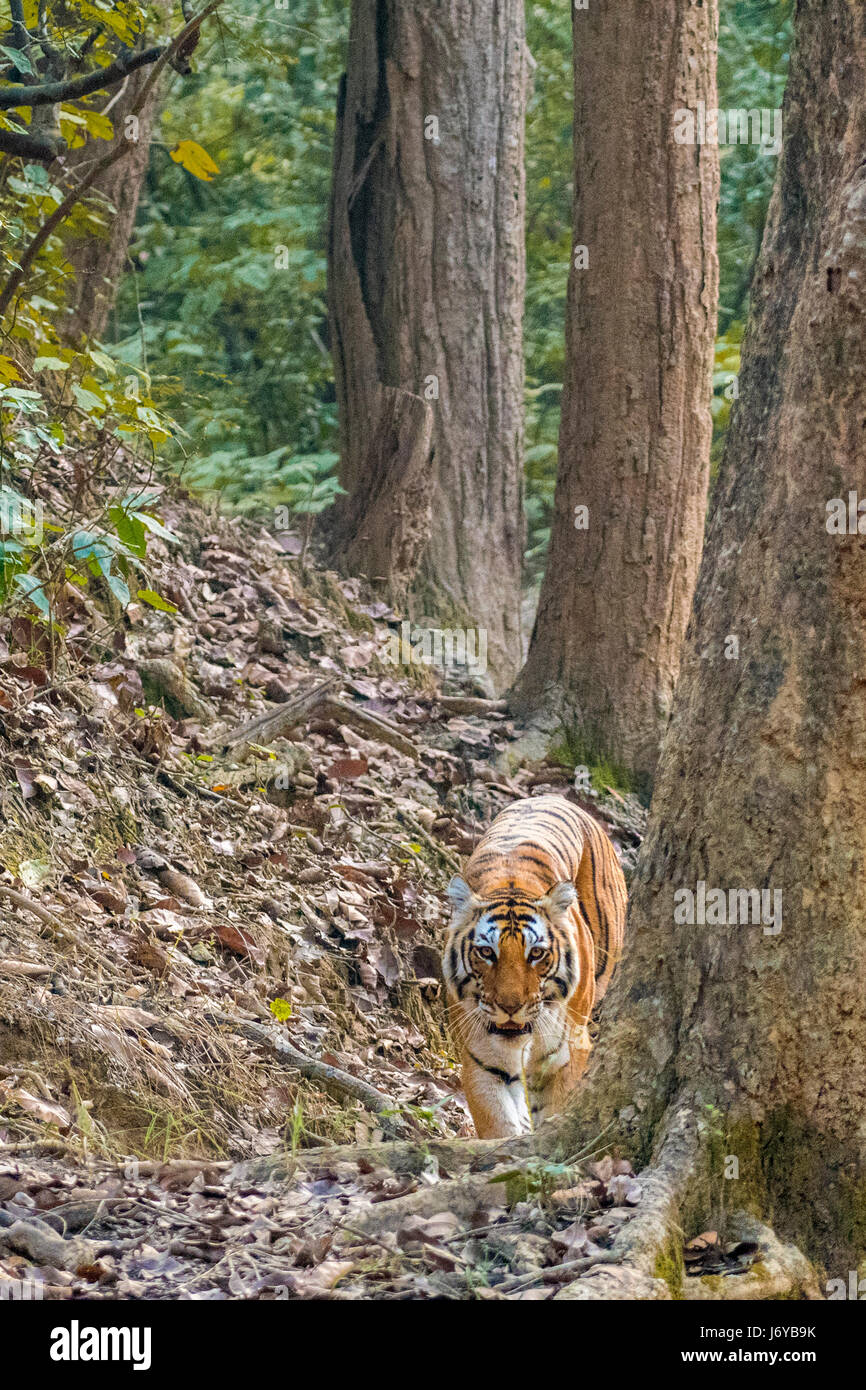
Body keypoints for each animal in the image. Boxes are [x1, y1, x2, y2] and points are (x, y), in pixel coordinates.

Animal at [444, 795, 625, 1139]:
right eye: (486, 952)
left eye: (537, 953)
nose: (510, 1007)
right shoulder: (483, 1059)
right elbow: (499, 1124)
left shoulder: (564, 1054)